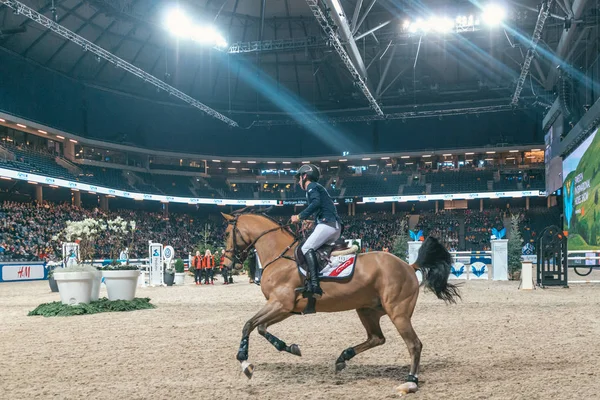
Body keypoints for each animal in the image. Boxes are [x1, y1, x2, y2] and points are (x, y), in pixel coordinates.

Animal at [223, 211, 462, 396]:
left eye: (226, 234)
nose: (227, 264)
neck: (280, 257)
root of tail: (409, 266)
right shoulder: (286, 308)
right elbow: (261, 328)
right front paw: (291, 348)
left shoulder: (279, 304)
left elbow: (249, 325)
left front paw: (245, 363)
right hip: (367, 310)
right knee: (377, 338)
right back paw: (342, 358)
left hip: (398, 313)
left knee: (414, 344)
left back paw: (410, 382)